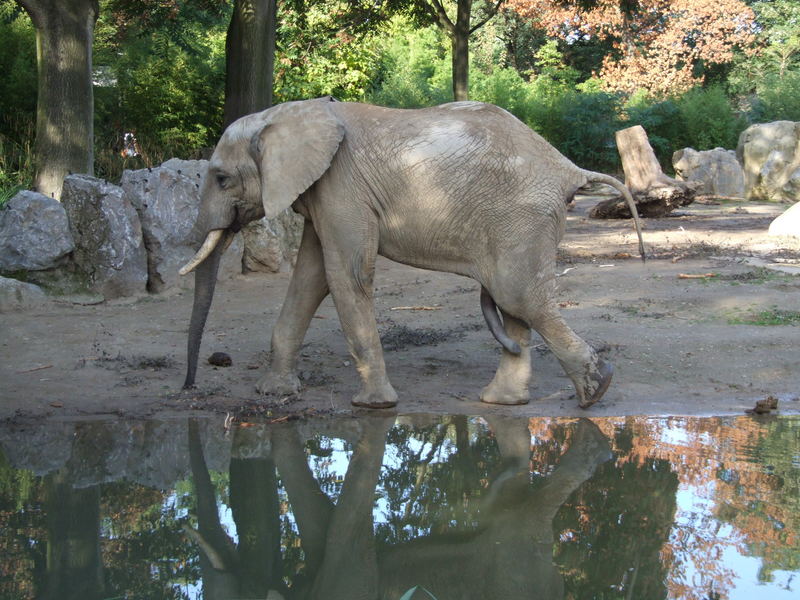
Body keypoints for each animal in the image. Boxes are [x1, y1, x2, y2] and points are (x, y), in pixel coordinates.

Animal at [181, 96, 644, 410]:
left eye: (220, 178)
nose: (188, 387)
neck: (287, 114)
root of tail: (567, 168)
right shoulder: (323, 194)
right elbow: (312, 278)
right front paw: (275, 393)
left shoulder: (341, 188)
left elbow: (347, 274)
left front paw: (374, 406)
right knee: (515, 305)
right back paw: (502, 402)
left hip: (522, 218)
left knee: (519, 297)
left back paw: (595, 390)